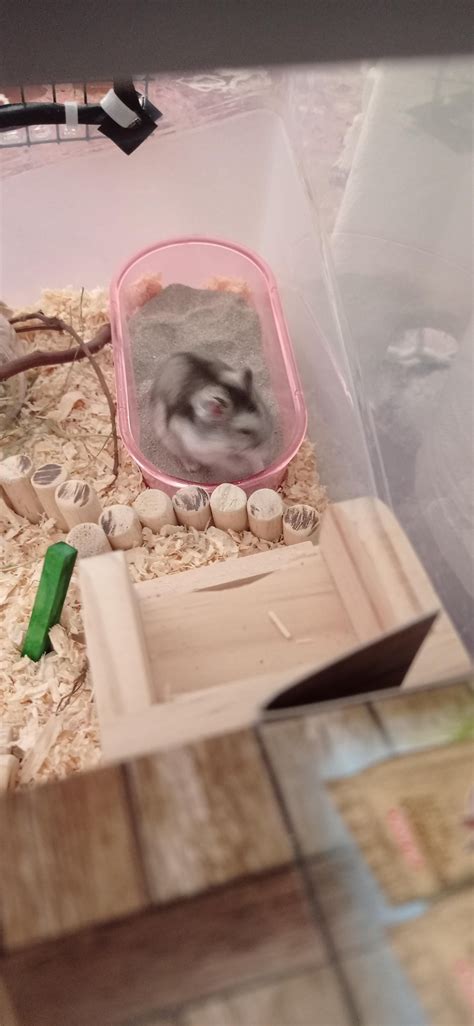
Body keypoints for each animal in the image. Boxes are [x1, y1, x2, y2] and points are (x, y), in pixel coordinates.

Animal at [149, 351, 273, 480]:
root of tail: (171, 358)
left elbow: (252, 457)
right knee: (182, 455)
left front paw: (260, 470)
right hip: (169, 440)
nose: (267, 453)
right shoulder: (201, 449)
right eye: (244, 431)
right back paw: (193, 467)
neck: (223, 441)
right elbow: (227, 462)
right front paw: (242, 469)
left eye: (265, 417)